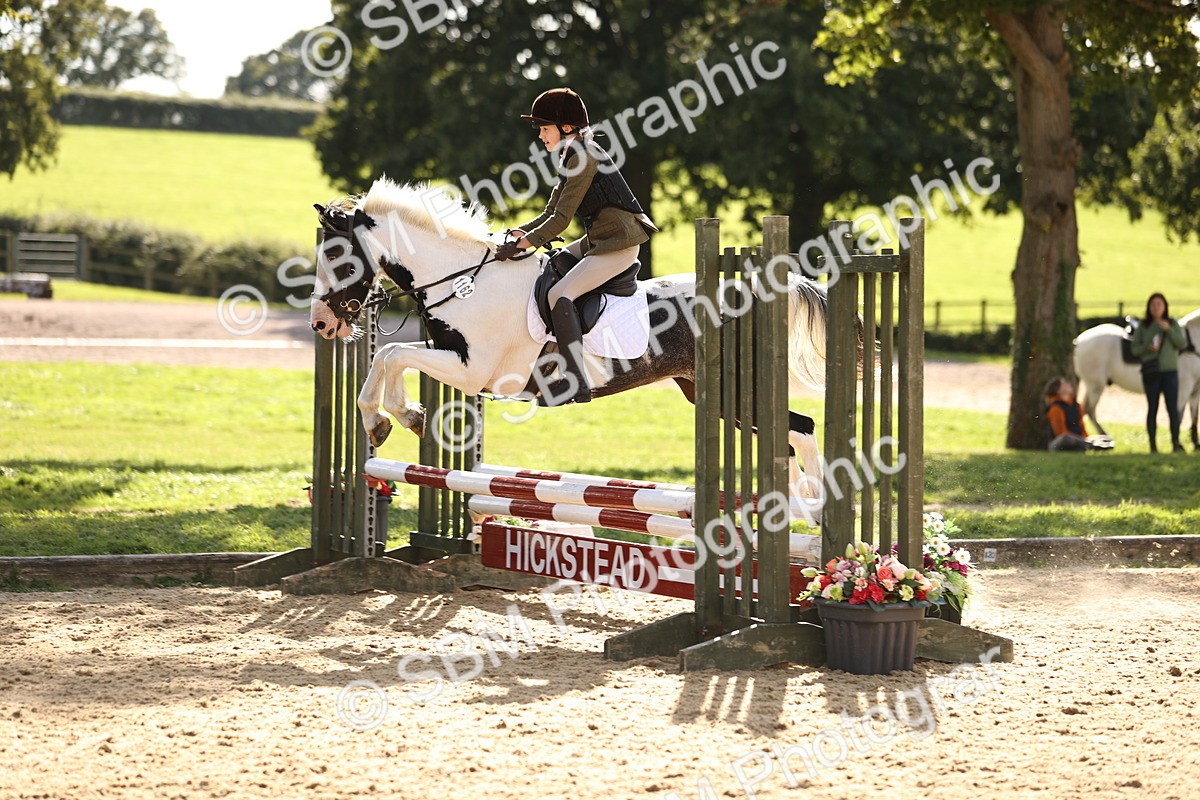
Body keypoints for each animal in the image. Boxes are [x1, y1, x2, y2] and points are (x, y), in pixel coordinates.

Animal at [308, 178, 847, 500]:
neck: (464, 280)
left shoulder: (475, 371)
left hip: (738, 390)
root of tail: (755, 291)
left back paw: (812, 508)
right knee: (788, 435)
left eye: (337, 257)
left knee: (800, 428)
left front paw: (392, 417)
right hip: (709, 393)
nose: (321, 324)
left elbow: (394, 354)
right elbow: (390, 356)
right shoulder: (453, 357)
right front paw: (395, 419)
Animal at [1073, 309, 1200, 449]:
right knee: (1089, 409)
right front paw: (1178, 444)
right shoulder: (1184, 388)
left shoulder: (1195, 391)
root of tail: (1078, 341)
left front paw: (1195, 443)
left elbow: (1194, 417)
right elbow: (1178, 415)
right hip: (1096, 385)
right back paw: (1102, 435)